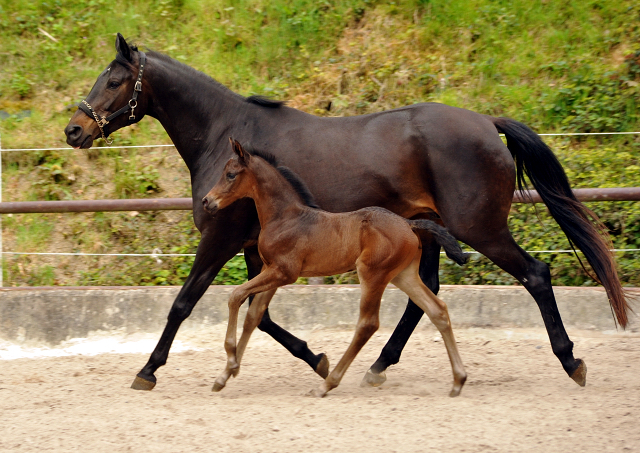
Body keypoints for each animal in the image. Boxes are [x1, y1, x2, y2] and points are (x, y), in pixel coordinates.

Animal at [202, 139, 468, 396]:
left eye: (230, 174)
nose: (207, 201)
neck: (285, 218)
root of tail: (408, 223)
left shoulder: (283, 272)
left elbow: (235, 296)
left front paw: (230, 361)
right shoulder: (273, 273)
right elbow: (254, 315)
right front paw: (225, 375)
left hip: (372, 274)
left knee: (367, 324)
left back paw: (327, 384)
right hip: (403, 276)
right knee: (437, 310)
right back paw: (458, 381)